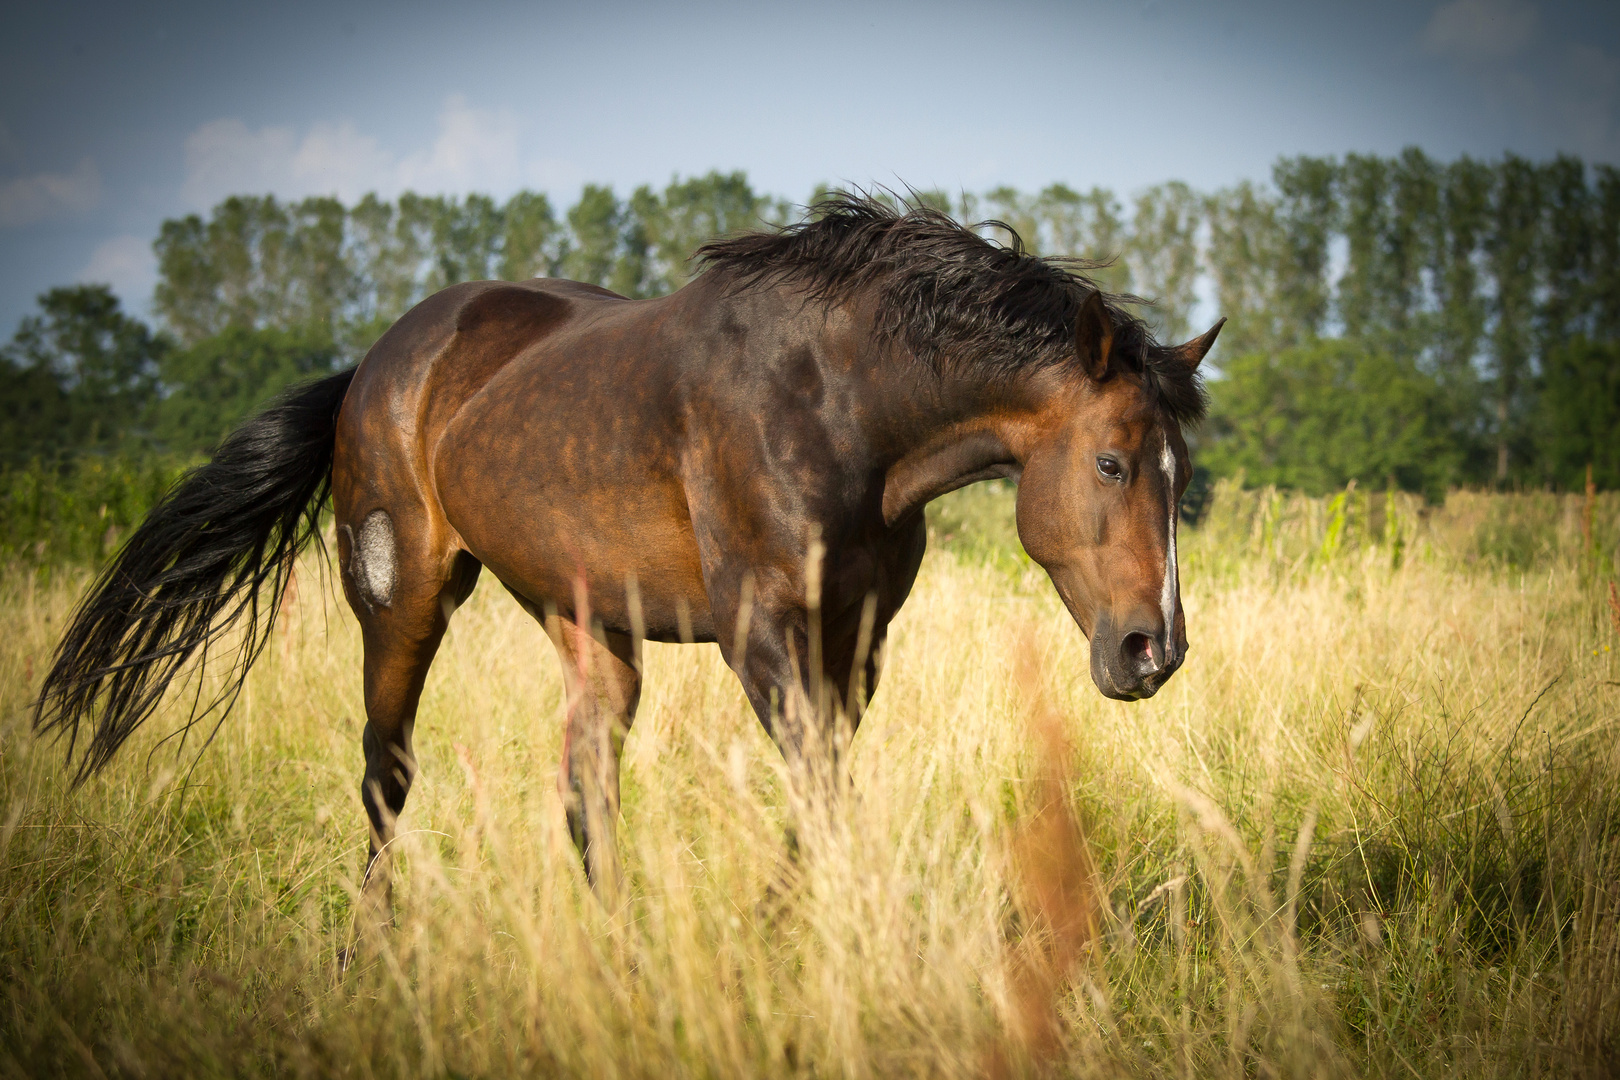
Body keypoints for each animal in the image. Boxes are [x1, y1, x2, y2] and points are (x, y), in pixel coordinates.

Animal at [31, 194, 1218, 893]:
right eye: (1113, 464)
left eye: (1182, 473)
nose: (1153, 653)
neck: (837, 400)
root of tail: (374, 365)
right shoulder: (760, 630)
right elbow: (820, 791)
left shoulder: (855, 638)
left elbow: (822, 791)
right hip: (404, 600)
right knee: (387, 773)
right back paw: (377, 948)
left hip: (586, 625)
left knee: (583, 793)